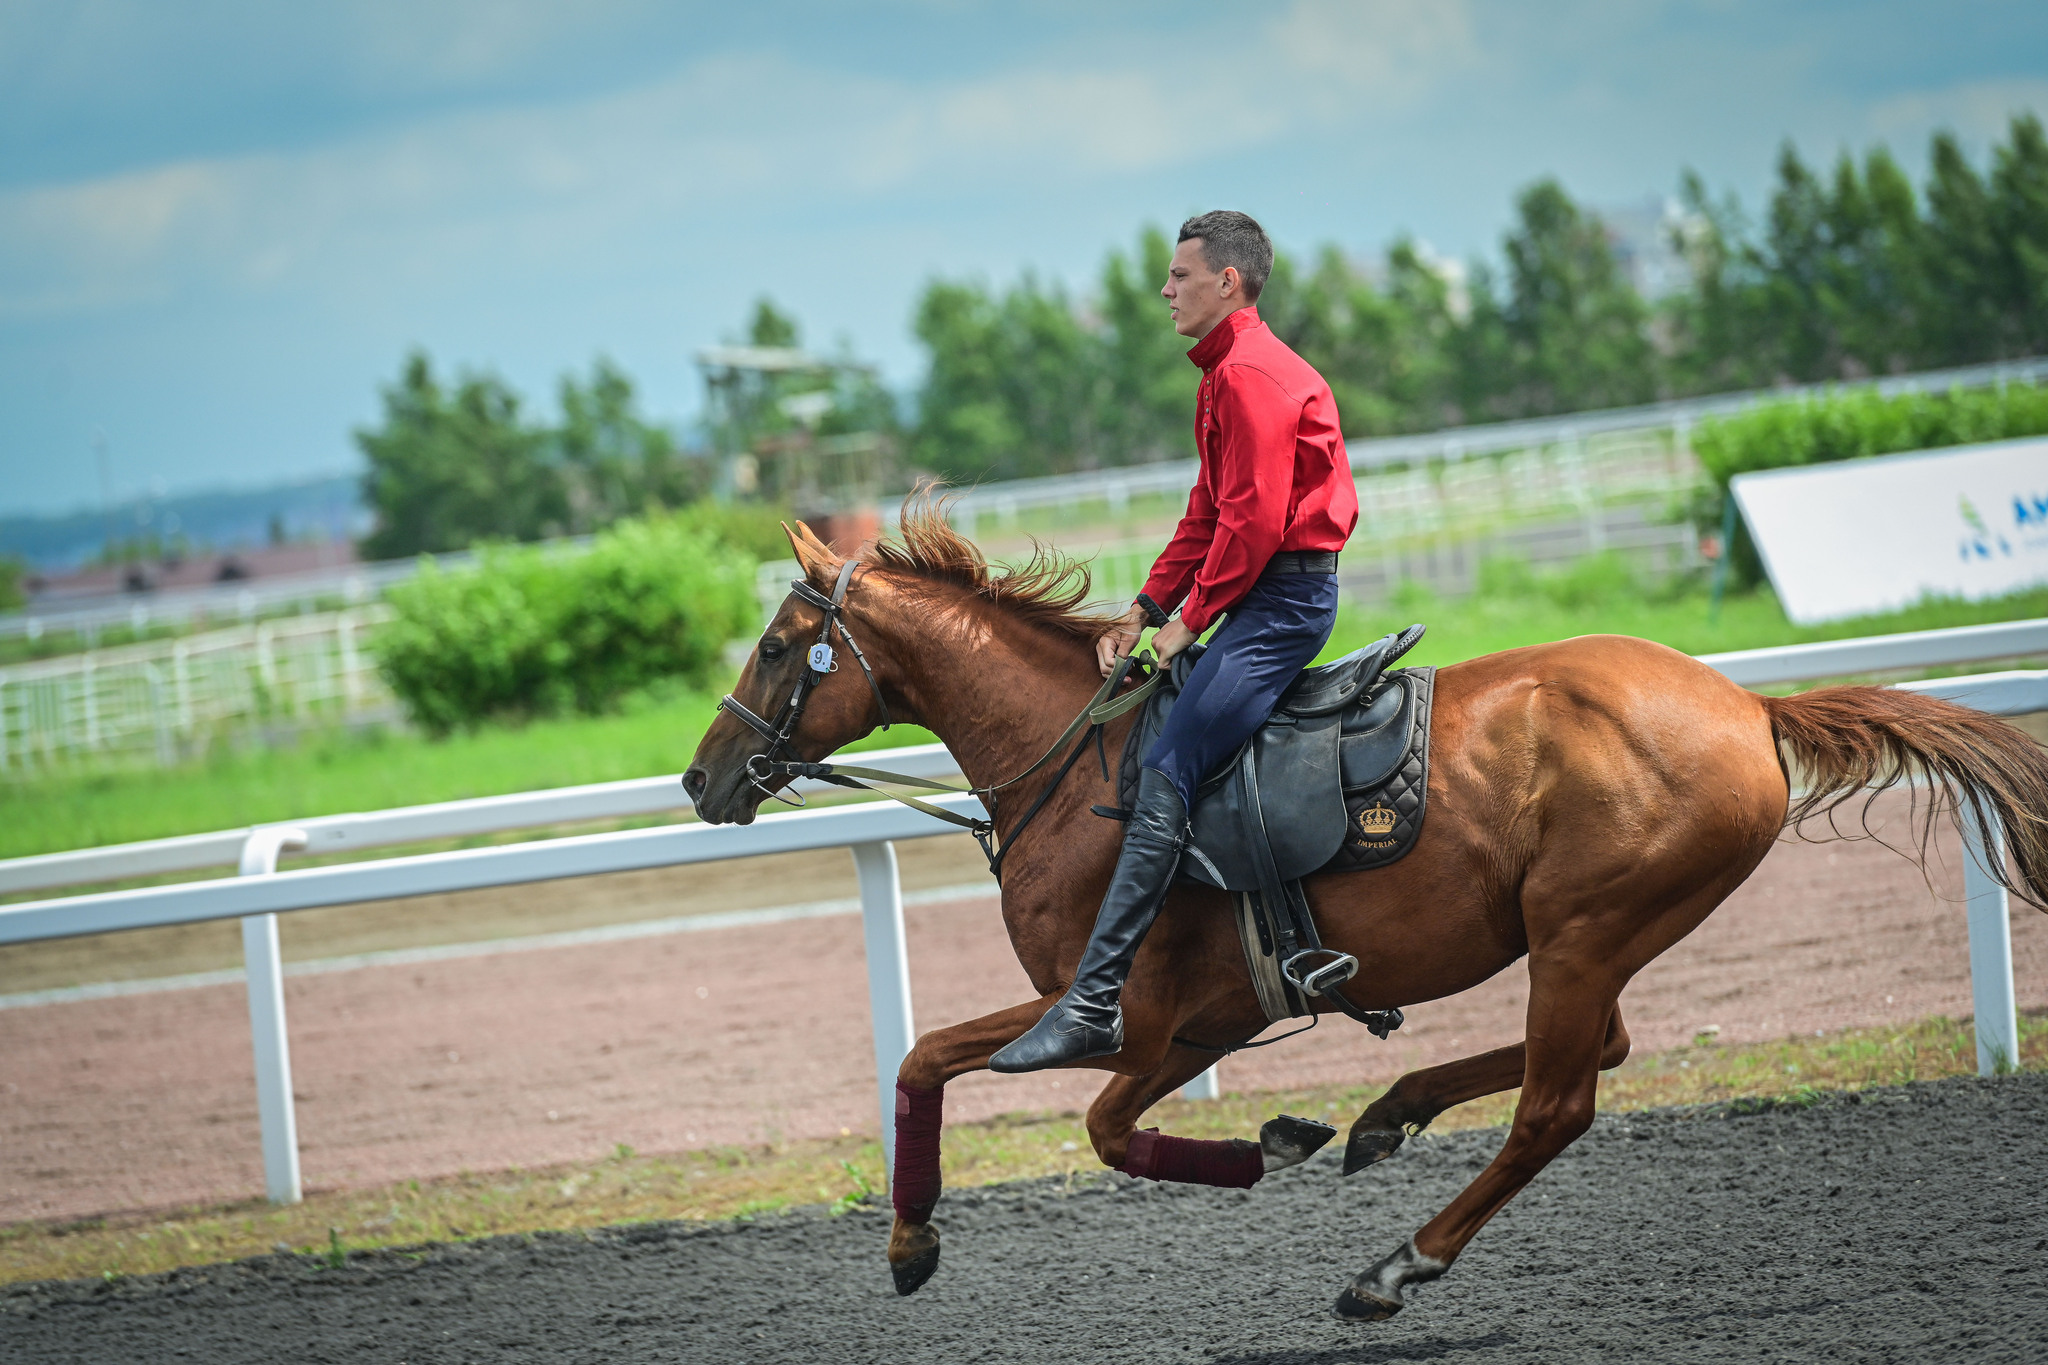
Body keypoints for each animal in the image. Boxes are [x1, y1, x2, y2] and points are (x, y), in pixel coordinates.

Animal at [684, 507, 2048, 1317]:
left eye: (773, 647)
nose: (702, 779)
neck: (1074, 770)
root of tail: (1744, 707)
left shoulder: (1129, 1020)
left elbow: (1081, 1121)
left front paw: (1261, 1148)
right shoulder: (1186, 1023)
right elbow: (939, 1067)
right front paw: (911, 1243)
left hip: (1583, 933)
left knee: (1558, 1102)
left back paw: (1398, 1263)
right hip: (1581, 941)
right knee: (1592, 1052)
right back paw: (1391, 1115)